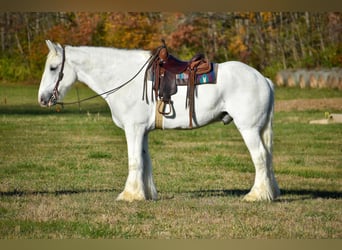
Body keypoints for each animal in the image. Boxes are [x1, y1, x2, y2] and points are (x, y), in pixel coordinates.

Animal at [38, 40, 280, 202]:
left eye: (53, 68)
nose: (42, 98)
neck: (124, 78)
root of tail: (264, 79)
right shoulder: (142, 131)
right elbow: (145, 161)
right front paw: (146, 193)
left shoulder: (133, 129)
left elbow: (134, 161)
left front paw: (129, 195)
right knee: (267, 158)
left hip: (248, 129)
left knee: (260, 157)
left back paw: (256, 195)